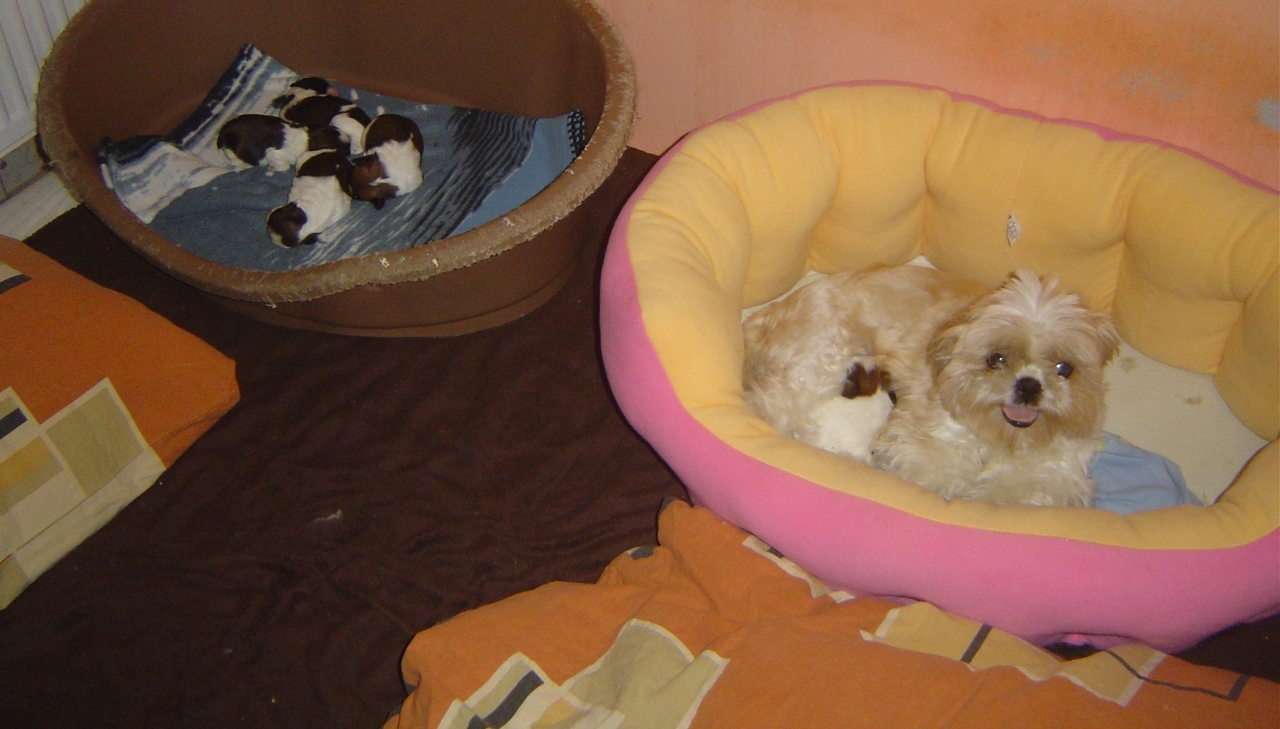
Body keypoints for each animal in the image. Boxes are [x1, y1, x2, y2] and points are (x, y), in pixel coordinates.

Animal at [742, 266, 1119, 506]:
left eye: (1064, 368)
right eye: (995, 359)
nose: (1028, 385)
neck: (1003, 439)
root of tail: (772, 311)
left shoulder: (1052, 476)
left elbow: (1016, 490)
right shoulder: (922, 445)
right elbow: (943, 475)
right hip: (820, 364)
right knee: (769, 406)